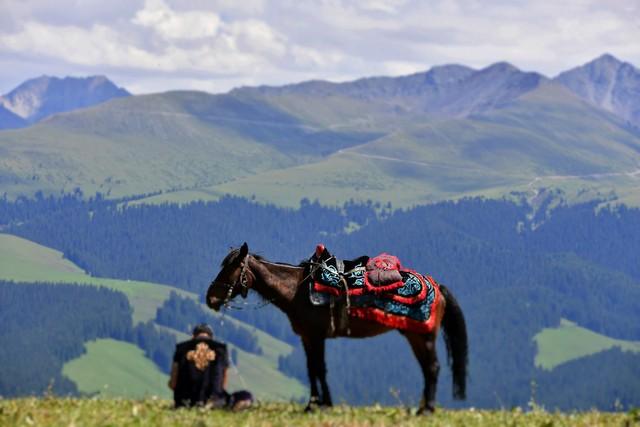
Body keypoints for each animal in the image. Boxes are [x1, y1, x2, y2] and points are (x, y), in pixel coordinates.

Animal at [208, 244, 468, 414]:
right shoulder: (307, 337)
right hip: (416, 335)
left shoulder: (317, 336)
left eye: (231, 268)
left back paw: (427, 410)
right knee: (427, 368)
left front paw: (321, 405)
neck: (296, 290)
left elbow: (319, 369)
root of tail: (437, 286)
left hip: (422, 335)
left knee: (432, 368)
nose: (211, 298)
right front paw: (314, 404)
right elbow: (312, 369)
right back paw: (422, 408)